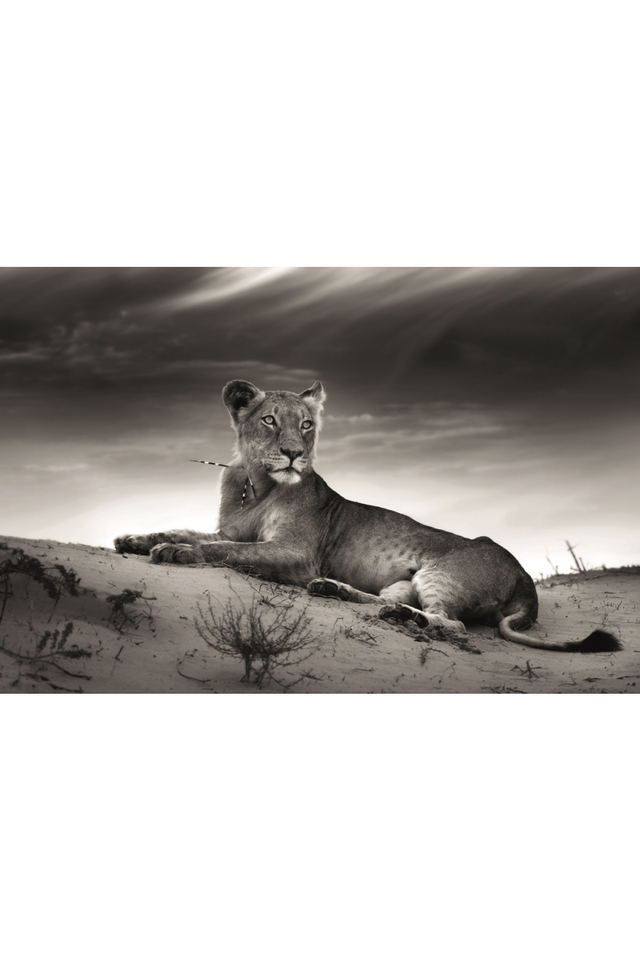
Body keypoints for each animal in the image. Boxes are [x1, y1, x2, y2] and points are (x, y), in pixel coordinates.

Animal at [115, 379, 620, 653]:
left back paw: (401, 618)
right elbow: (192, 531)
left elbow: (224, 550)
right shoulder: (234, 529)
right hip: (404, 580)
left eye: (306, 425)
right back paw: (339, 592)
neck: (255, 483)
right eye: (269, 421)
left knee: (450, 623)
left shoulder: (296, 553)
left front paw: (177, 552)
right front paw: (135, 540)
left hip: (441, 573)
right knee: (384, 600)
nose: (294, 454)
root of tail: (526, 579)